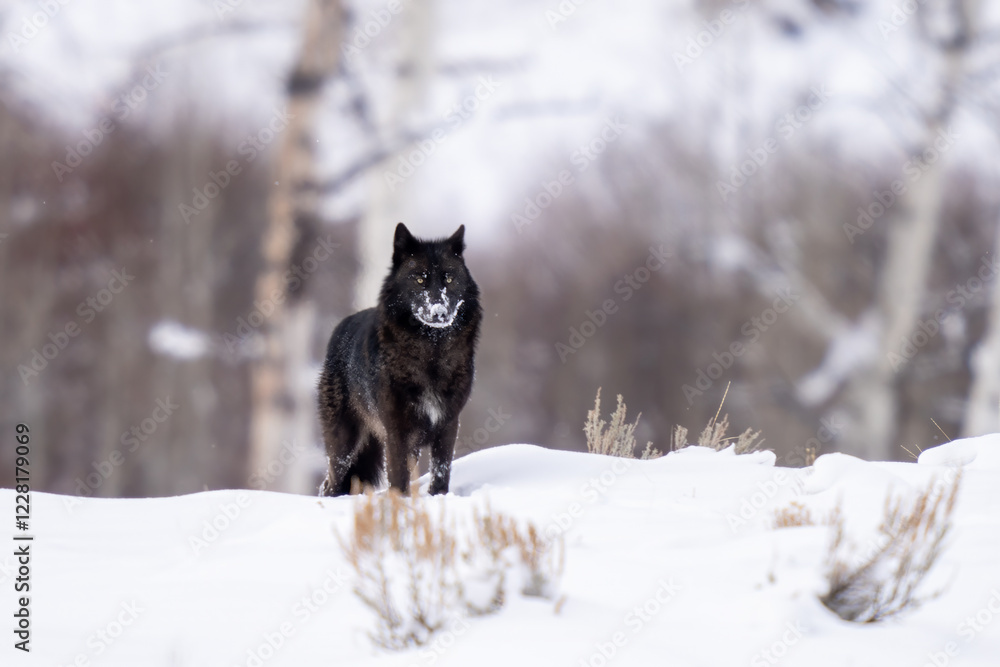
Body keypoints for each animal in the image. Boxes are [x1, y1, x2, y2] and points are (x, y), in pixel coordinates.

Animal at [317, 223, 482, 496]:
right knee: (328, 484)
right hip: (343, 445)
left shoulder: (448, 424)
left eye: (448, 278)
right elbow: (399, 478)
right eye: (419, 279)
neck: (431, 354)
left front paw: (438, 498)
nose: (439, 312)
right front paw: (401, 504)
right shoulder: (397, 431)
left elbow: (441, 471)